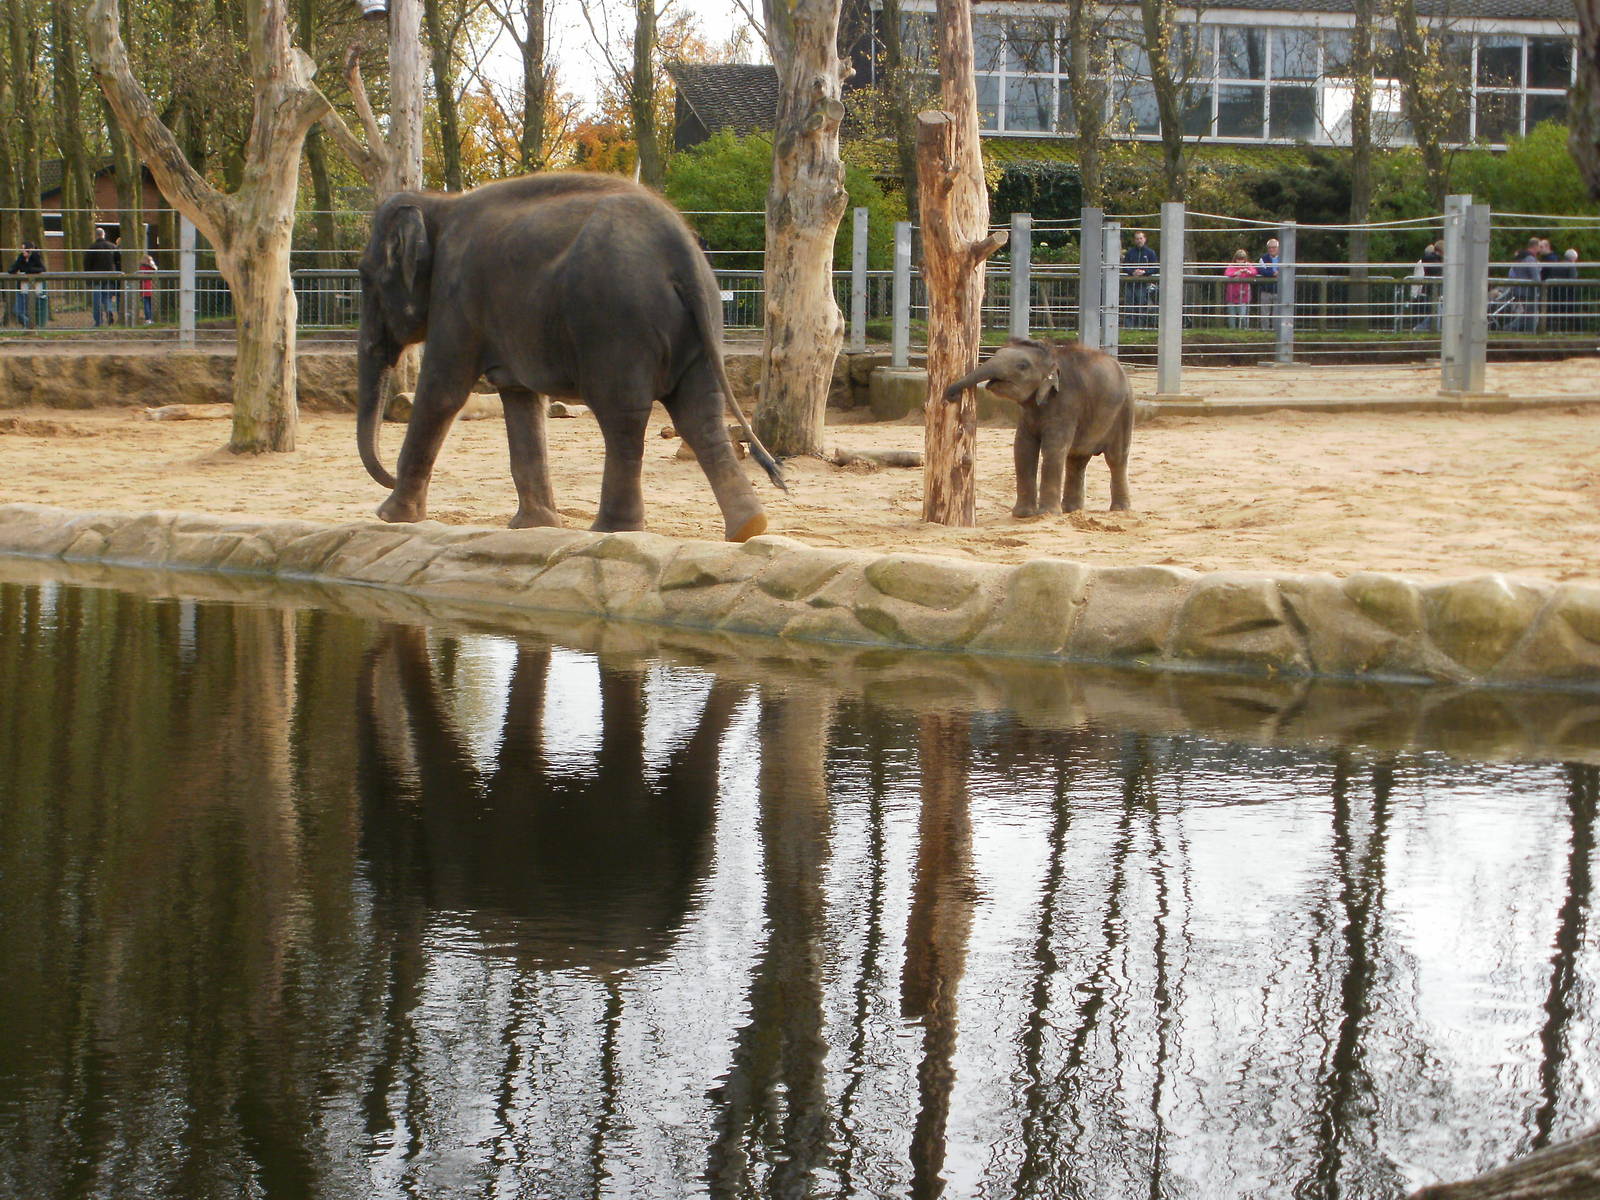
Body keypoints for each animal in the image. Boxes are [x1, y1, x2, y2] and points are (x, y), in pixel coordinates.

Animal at [356, 172, 785, 543]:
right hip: (702, 324)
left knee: (622, 416)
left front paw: (388, 517)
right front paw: (534, 526)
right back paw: (748, 527)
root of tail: (680, 248)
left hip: (615, 323)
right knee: (699, 414)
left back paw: (613, 530)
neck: (438, 204)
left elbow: (442, 392)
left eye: (365, 276)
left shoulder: (455, 295)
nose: (387, 476)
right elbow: (522, 401)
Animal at [945, 336, 1133, 517]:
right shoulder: (1027, 415)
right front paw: (1023, 514)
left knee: (1116, 458)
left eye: (1022, 366)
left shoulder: (1066, 404)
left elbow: (1053, 449)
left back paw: (1119, 509)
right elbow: (1023, 449)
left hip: (1123, 411)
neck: (1052, 356)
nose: (951, 395)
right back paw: (1072, 510)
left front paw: (1047, 514)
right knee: (1077, 459)